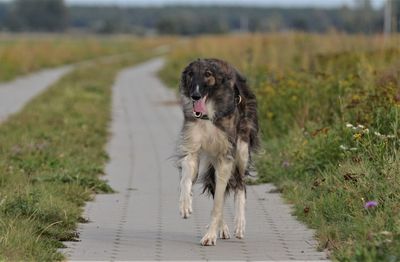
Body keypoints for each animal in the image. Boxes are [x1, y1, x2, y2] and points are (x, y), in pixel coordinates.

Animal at [177, 57, 260, 246]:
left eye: (208, 74)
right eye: (190, 74)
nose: (195, 95)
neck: (208, 114)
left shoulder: (226, 157)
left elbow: (218, 204)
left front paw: (209, 236)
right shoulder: (193, 148)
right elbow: (186, 179)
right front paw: (185, 204)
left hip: (241, 151)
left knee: (240, 185)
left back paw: (239, 224)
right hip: (212, 160)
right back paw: (223, 228)